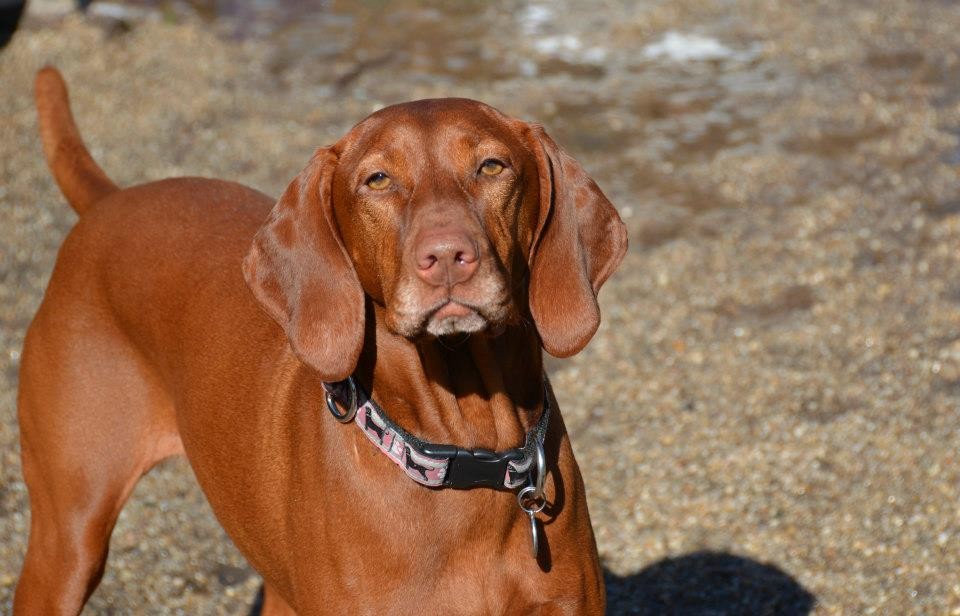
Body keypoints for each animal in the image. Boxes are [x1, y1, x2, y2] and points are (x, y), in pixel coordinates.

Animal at [16, 68, 632, 616]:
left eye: (491, 165)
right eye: (377, 180)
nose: (447, 256)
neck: (462, 452)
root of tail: (108, 203)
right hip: (68, 541)